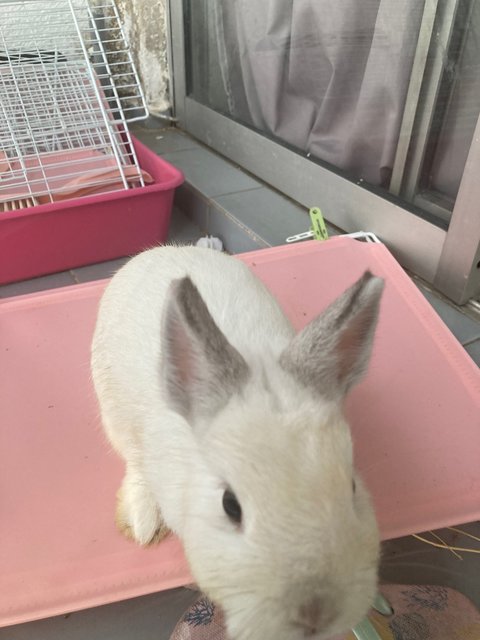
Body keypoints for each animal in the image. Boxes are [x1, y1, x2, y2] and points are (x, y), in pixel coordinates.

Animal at [89, 245, 382, 640]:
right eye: (230, 505)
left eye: (351, 486)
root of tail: (165, 250)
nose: (315, 615)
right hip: (113, 412)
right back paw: (143, 522)